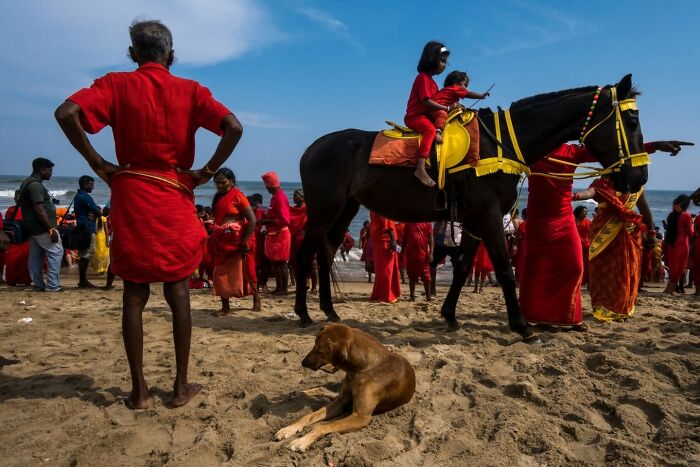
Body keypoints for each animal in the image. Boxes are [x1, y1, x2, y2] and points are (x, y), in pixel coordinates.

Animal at [293, 74, 647, 342]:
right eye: (631, 120)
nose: (640, 176)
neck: (501, 145)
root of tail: (311, 149)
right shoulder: (489, 217)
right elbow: (504, 269)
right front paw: (522, 326)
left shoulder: (475, 221)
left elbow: (463, 267)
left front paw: (449, 315)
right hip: (324, 210)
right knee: (306, 253)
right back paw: (303, 312)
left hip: (345, 209)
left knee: (326, 252)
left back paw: (329, 309)